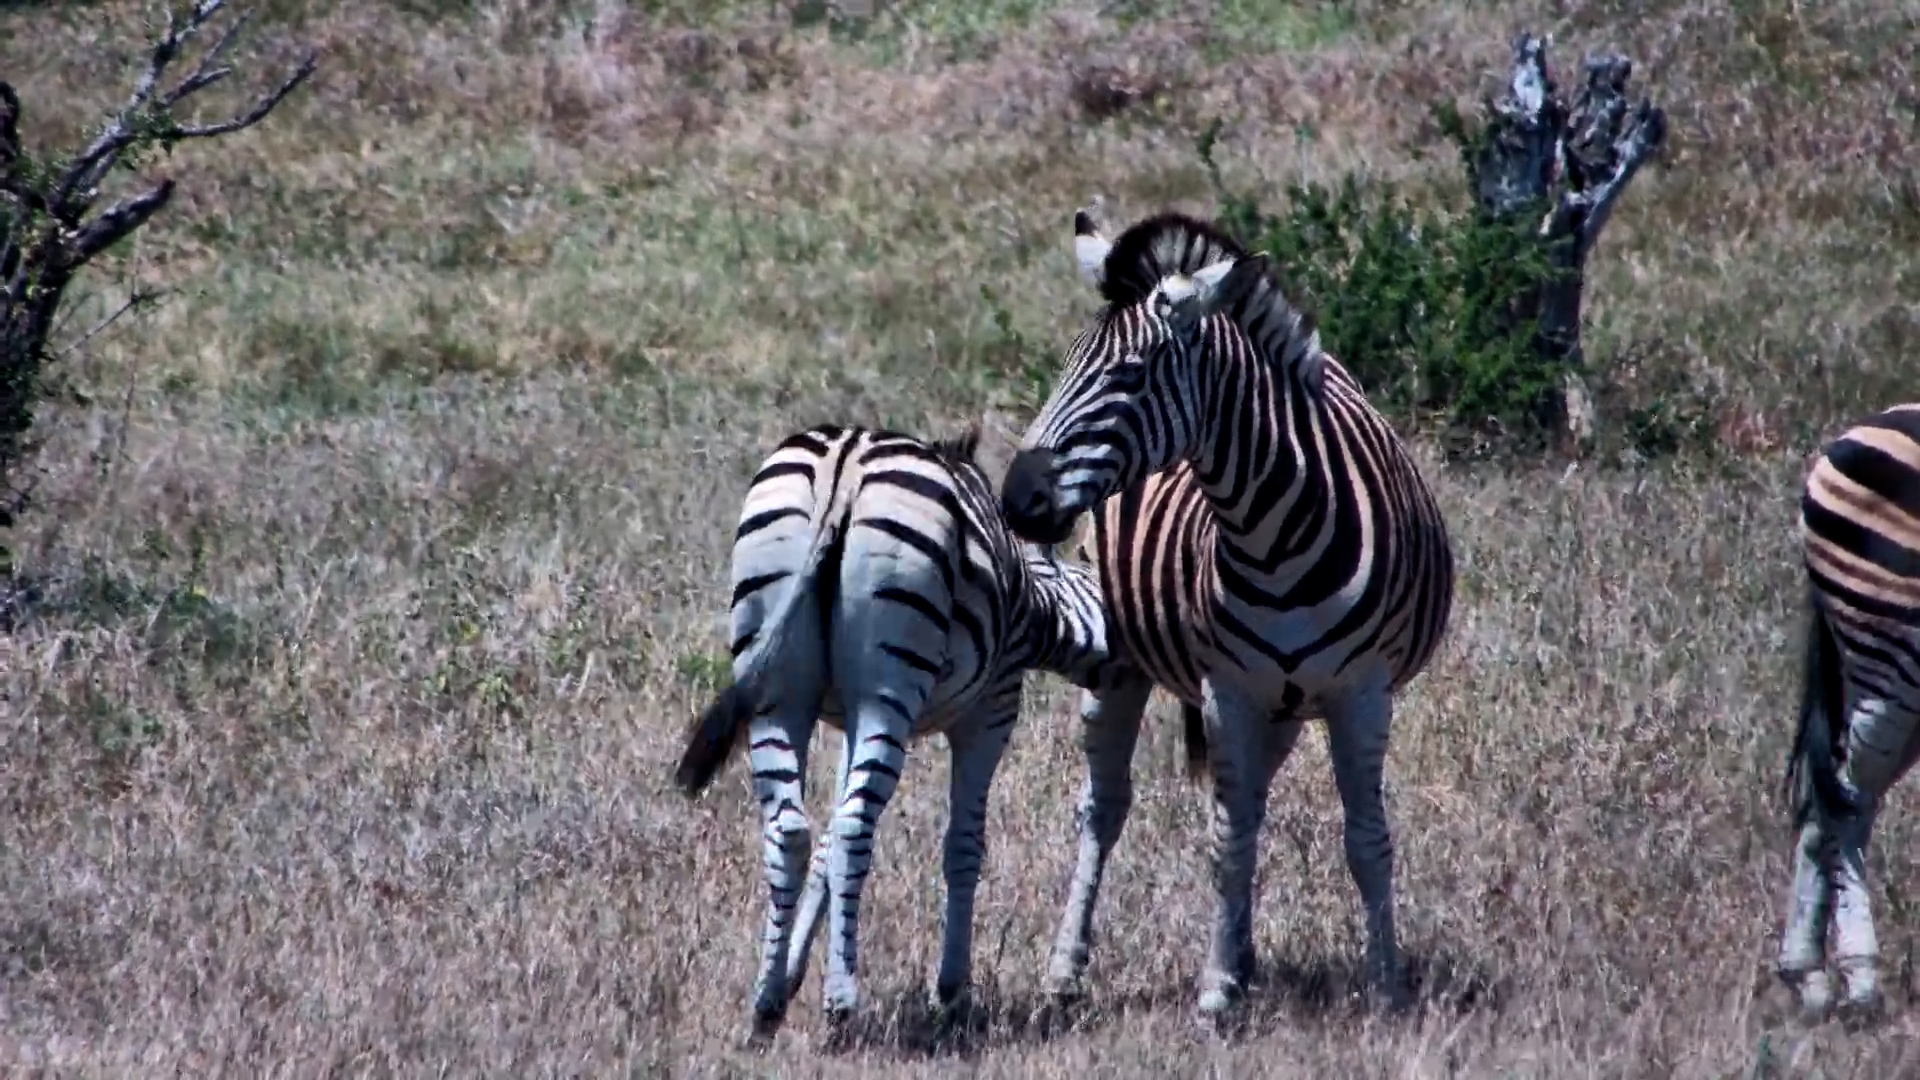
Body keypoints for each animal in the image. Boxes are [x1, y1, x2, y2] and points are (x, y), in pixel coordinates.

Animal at [673, 421, 1125, 1045]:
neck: (1027, 595)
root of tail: (845, 464)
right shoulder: (992, 708)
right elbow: (964, 845)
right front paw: (953, 992)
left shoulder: (849, 717)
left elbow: (826, 849)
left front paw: (789, 976)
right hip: (889, 688)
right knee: (854, 828)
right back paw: (842, 1002)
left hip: (782, 685)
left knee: (793, 830)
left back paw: (764, 1006)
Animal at [996, 209, 1455, 1019]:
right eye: (1066, 365)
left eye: (1130, 375)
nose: (1018, 500)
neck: (1276, 535)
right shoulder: (1227, 691)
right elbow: (1226, 842)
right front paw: (1214, 991)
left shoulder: (1361, 693)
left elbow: (1366, 838)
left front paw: (1386, 987)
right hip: (1123, 664)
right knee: (1105, 808)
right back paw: (1067, 970)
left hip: (1285, 704)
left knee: (1253, 801)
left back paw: (1244, 955)